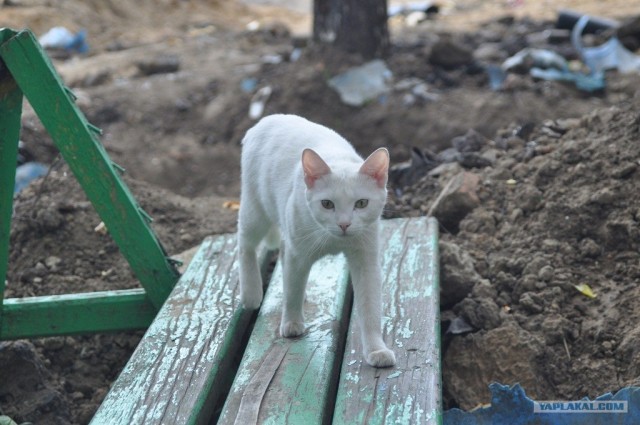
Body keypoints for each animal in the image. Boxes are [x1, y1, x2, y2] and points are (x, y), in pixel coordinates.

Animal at [238, 114, 396, 366]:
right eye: (327, 204)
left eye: (361, 203)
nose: (344, 224)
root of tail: (265, 120)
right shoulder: (297, 254)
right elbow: (292, 289)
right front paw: (292, 323)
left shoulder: (367, 260)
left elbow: (370, 307)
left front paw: (376, 349)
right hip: (255, 210)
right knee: (245, 243)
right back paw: (251, 293)